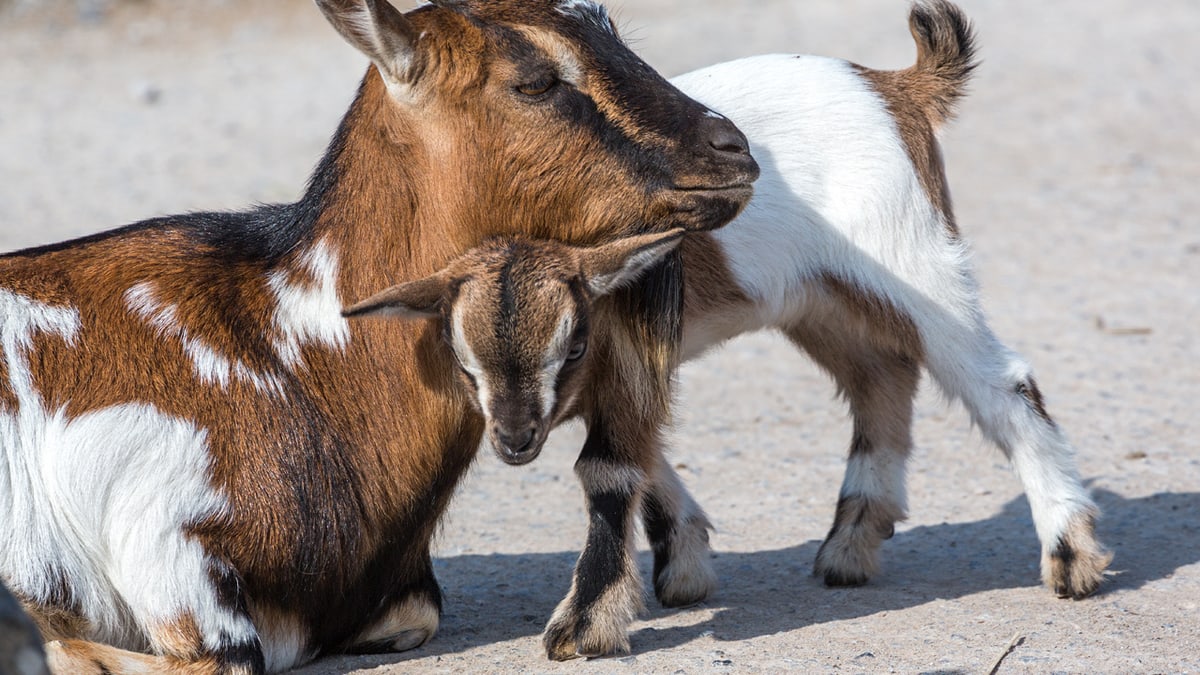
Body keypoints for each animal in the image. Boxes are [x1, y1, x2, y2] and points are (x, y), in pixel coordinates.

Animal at [0, 2, 753, 667]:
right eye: (536, 79)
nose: (734, 151)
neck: (289, 350)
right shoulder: (165, 539)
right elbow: (210, 656)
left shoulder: (399, 600)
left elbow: (414, 615)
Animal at [355, 0, 1113, 658]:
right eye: (461, 357)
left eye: (569, 345)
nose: (513, 442)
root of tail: (895, 85)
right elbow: (637, 444)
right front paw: (684, 563)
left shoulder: (623, 347)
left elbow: (613, 459)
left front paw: (587, 624)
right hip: (822, 297)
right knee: (882, 374)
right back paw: (850, 546)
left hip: (914, 261)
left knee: (1000, 381)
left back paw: (1069, 556)